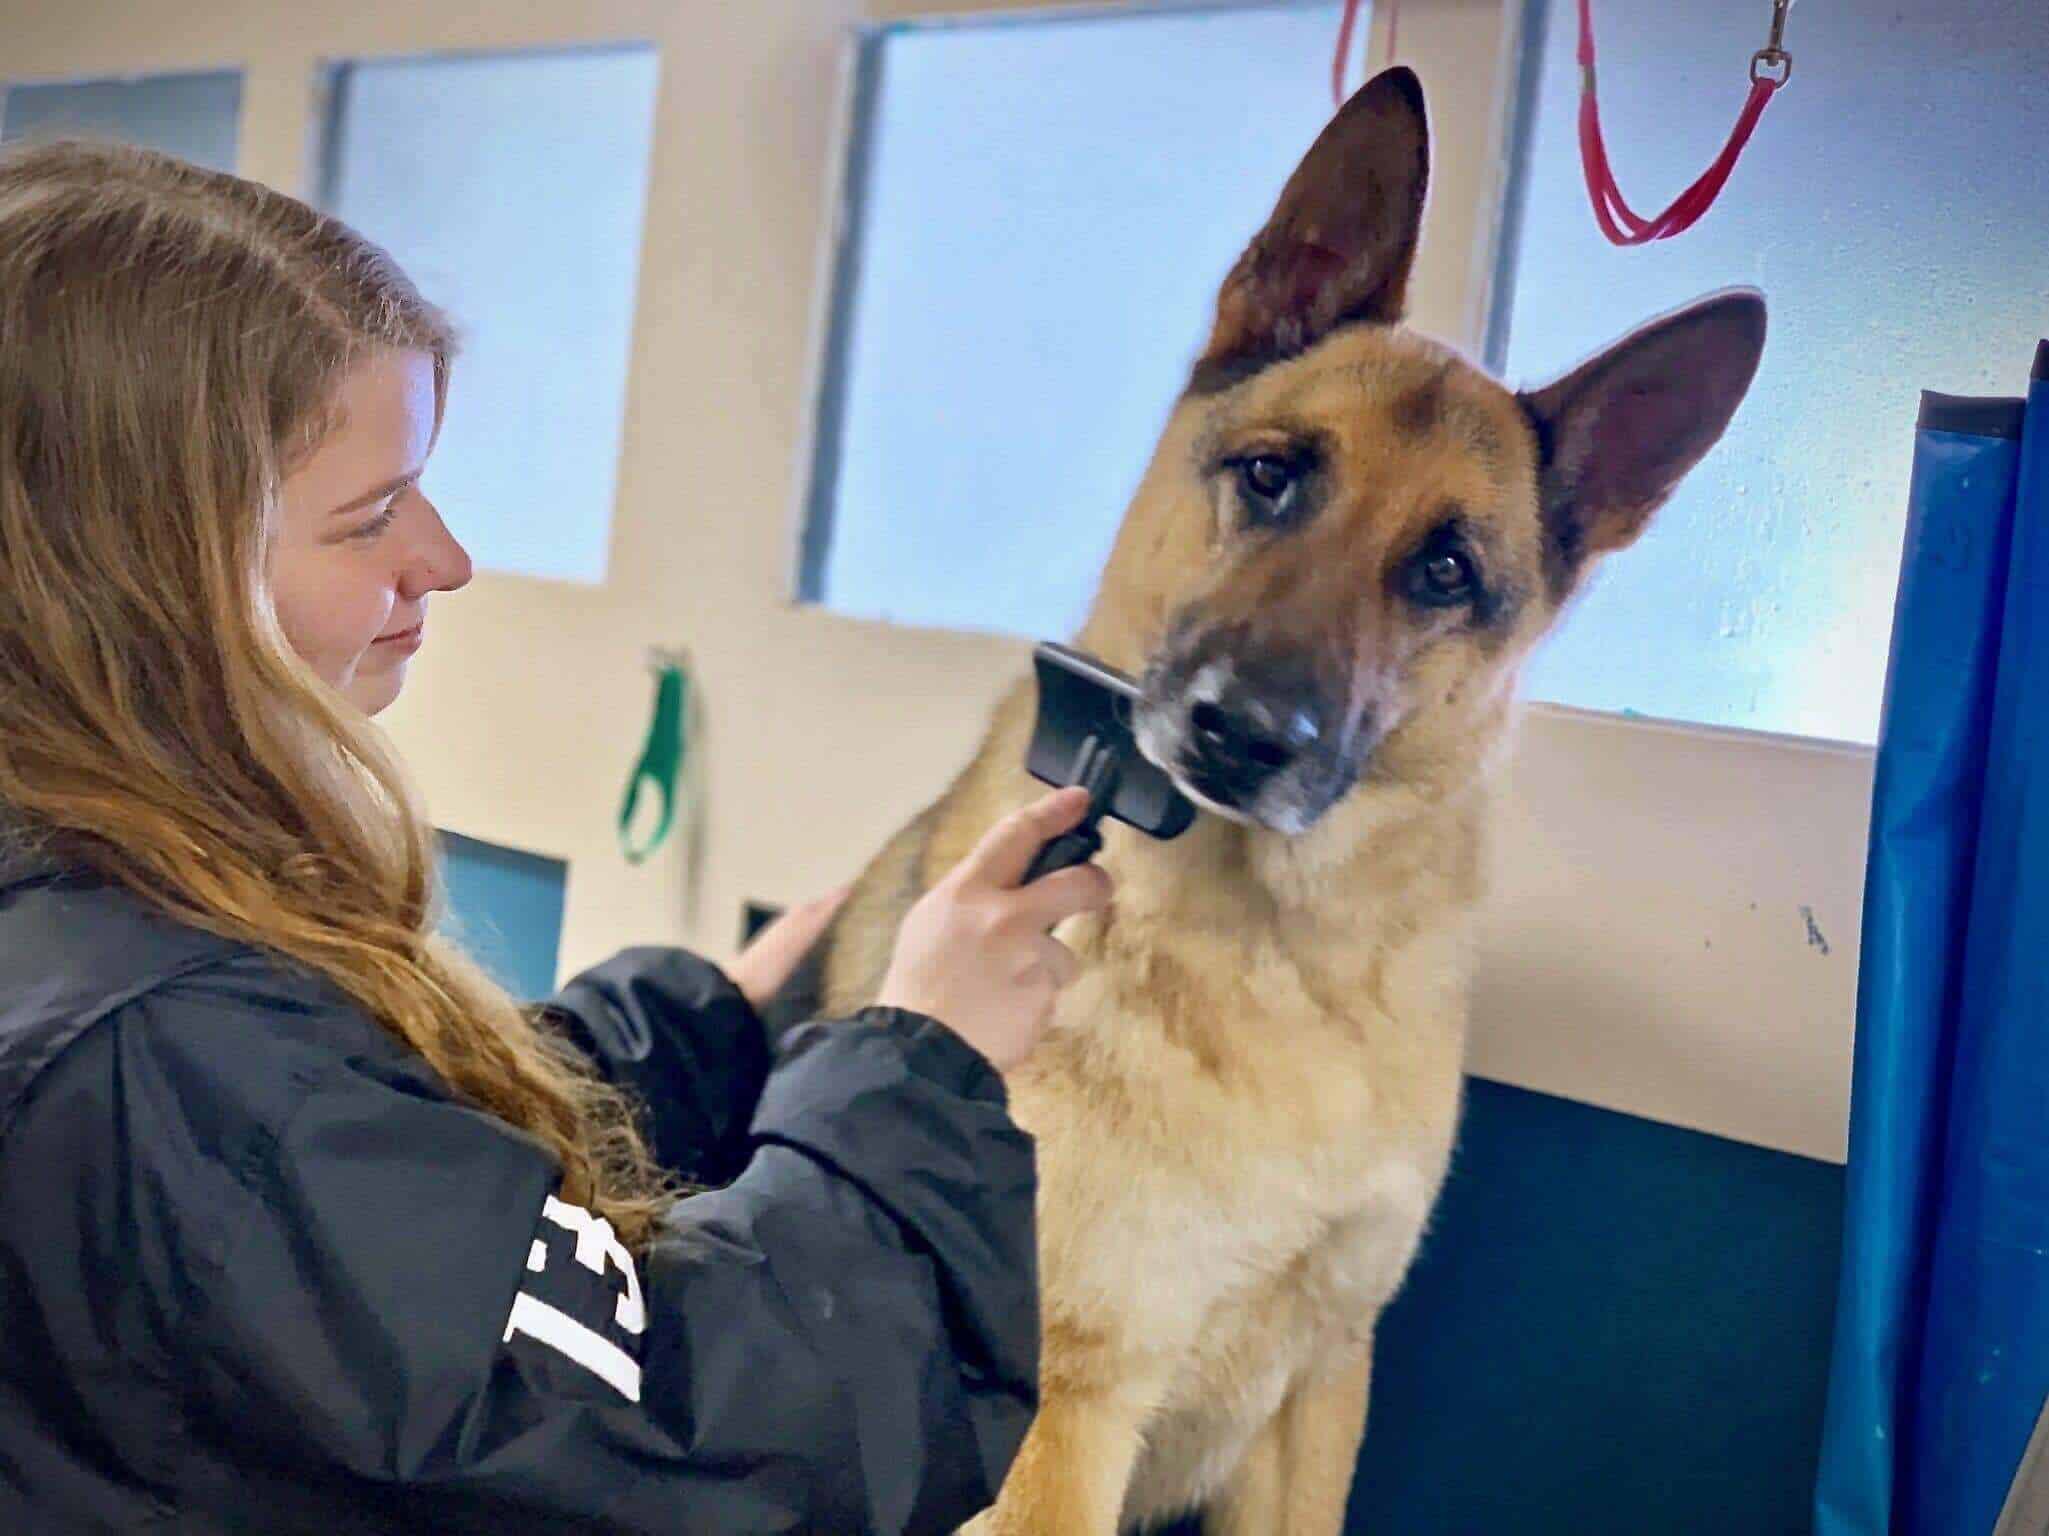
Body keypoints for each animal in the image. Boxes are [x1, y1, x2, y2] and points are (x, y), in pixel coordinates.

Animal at [774, 66, 1770, 1531]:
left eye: (1446, 571)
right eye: (1270, 475)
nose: (1239, 735)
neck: (1278, 952)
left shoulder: (1315, 1400)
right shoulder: (1064, 1424)